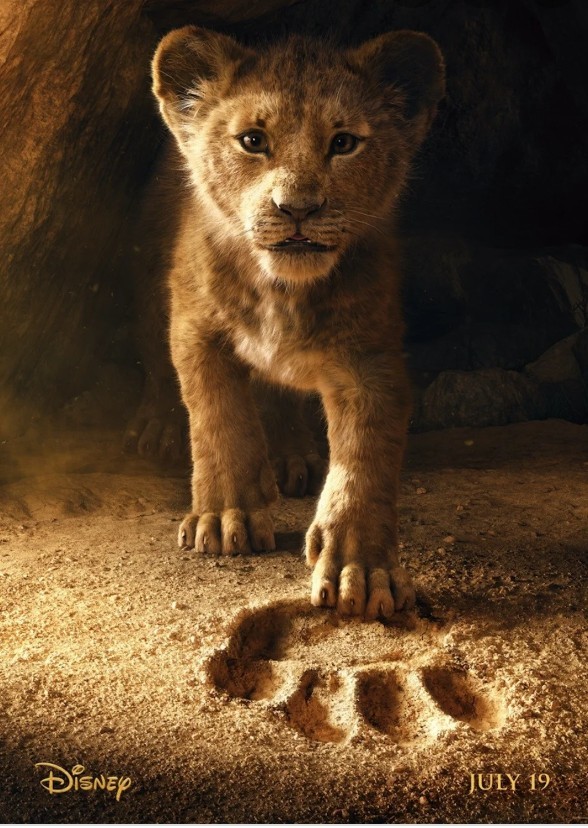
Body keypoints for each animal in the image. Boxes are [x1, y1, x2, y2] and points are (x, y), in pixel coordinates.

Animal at [146, 25, 445, 620]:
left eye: (344, 143)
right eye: (252, 140)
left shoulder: (370, 358)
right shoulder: (194, 327)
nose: (298, 208)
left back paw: (291, 458)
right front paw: (225, 517)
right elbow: (219, 419)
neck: (282, 290)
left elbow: (364, 459)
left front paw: (361, 569)